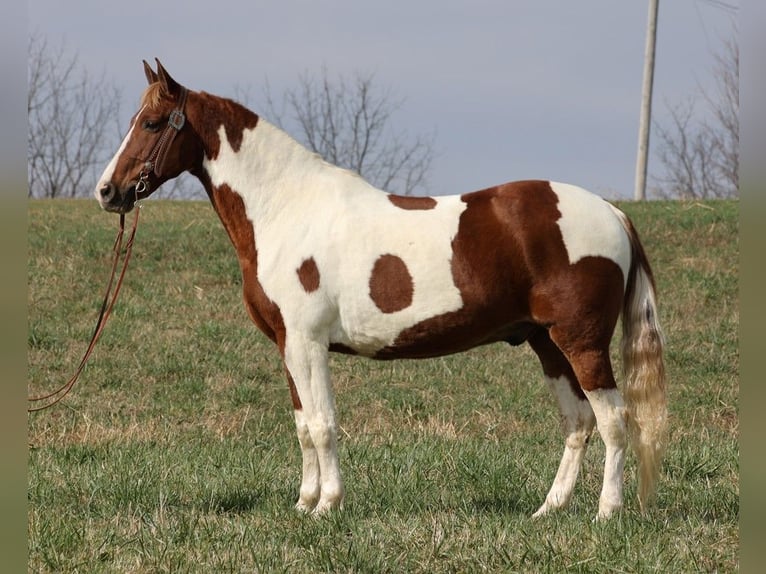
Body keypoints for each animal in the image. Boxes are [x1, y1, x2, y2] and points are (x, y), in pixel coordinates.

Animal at [96, 59, 668, 520]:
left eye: (151, 123)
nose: (107, 191)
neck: (285, 207)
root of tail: (613, 213)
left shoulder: (307, 343)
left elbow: (323, 423)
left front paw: (327, 506)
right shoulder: (288, 346)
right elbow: (303, 425)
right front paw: (303, 503)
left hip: (581, 342)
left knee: (614, 419)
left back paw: (607, 512)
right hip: (546, 342)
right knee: (578, 421)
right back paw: (548, 510)